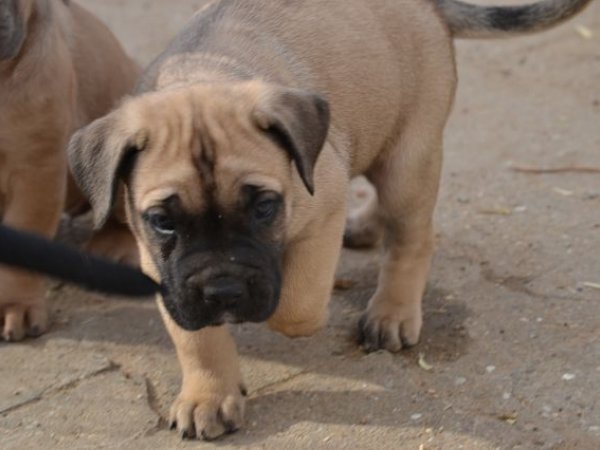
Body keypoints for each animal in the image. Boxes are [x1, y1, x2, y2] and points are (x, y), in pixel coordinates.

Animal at [67, 0, 592, 440]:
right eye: (163, 221)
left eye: (264, 208)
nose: (224, 292)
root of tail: (429, 5)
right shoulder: (165, 272)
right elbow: (194, 336)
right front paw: (208, 395)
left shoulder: (324, 204)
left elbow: (296, 306)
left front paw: (277, 310)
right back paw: (366, 229)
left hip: (409, 159)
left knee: (412, 238)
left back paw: (392, 311)